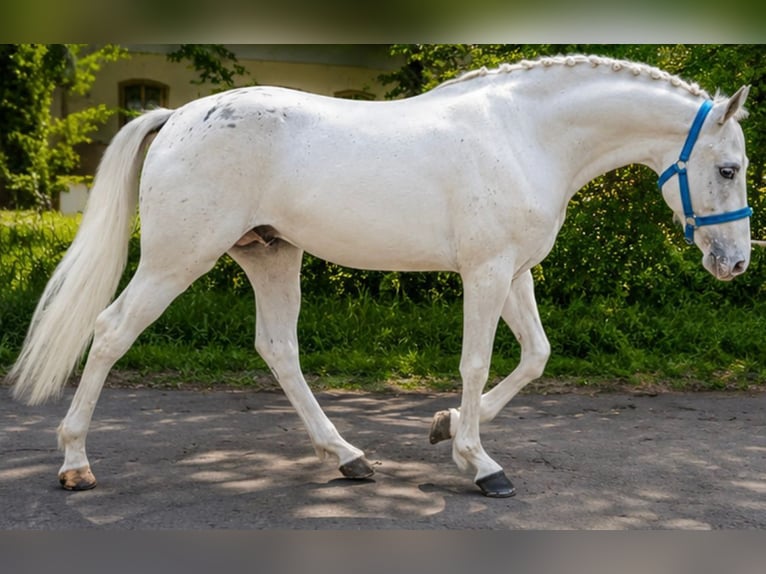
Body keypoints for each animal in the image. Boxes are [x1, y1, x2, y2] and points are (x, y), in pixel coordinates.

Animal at [9, 54, 753, 498]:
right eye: (728, 168)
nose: (736, 263)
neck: (525, 136)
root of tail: (176, 116)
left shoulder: (515, 273)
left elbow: (536, 356)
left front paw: (444, 428)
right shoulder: (485, 273)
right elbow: (478, 362)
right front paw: (480, 464)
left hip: (271, 256)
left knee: (278, 348)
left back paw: (347, 456)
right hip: (178, 258)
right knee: (111, 332)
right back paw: (74, 464)